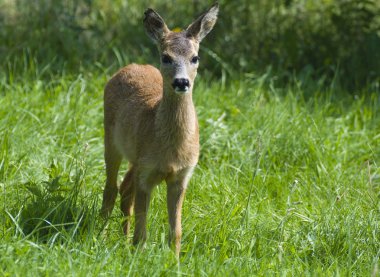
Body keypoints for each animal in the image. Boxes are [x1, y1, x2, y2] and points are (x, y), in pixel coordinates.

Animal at [100, 2, 220, 256]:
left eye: (195, 57)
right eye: (166, 57)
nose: (181, 82)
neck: (171, 151)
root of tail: (132, 65)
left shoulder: (181, 176)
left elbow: (176, 231)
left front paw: (174, 260)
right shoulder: (146, 172)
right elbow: (142, 232)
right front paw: (137, 255)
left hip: (135, 158)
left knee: (125, 189)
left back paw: (121, 238)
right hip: (111, 141)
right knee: (111, 189)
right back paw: (101, 237)